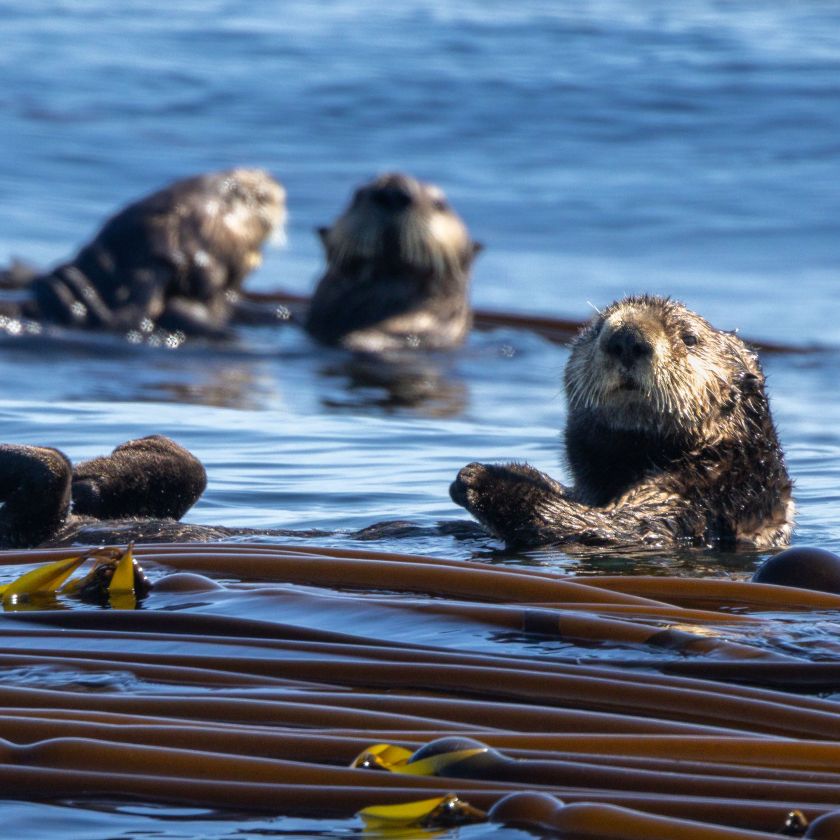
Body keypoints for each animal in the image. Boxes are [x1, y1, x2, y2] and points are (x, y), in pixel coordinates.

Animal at [450, 295, 794, 550]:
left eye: (690, 338)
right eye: (596, 329)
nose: (627, 338)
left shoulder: (696, 504)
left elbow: (608, 527)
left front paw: (479, 478)